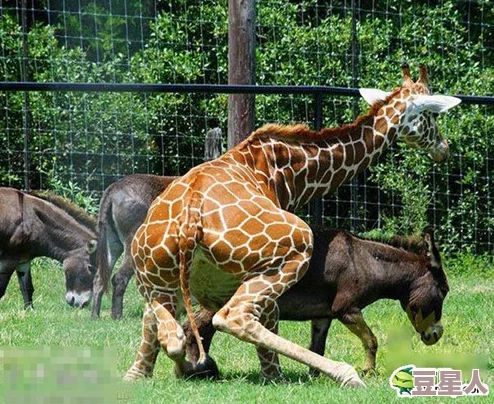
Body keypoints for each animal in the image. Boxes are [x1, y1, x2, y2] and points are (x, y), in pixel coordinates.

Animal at [123, 64, 460, 386]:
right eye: (431, 115)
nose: (443, 147)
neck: (292, 172)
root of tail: (190, 220)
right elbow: (272, 323)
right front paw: (274, 374)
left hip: (154, 275)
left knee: (168, 333)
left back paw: (162, 371)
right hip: (294, 248)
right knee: (232, 317)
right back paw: (342, 374)